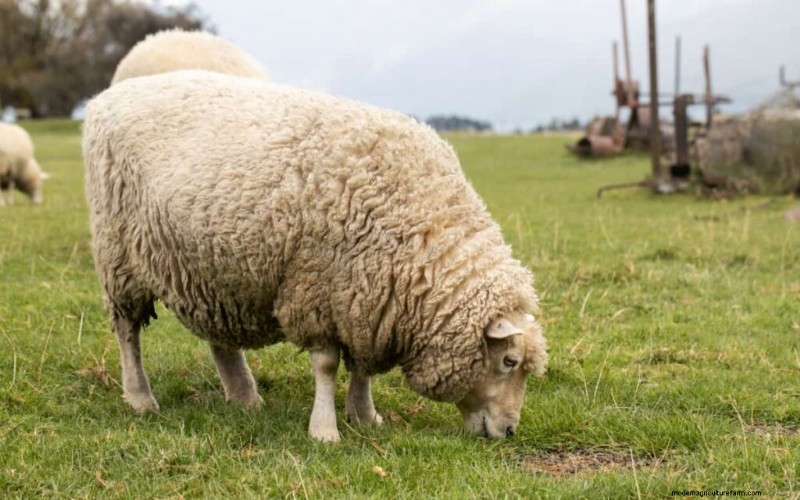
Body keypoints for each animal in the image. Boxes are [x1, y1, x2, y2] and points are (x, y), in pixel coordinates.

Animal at [82, 70, 548, 442]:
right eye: (508, 361)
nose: (510, 431)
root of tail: (108, 97)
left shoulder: (366, 297)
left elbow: (361, 368)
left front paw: (364, 415)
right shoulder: (318, 287)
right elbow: (326, 366)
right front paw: (324, 430)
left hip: (211, 262)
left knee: (219, 336)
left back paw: (243, 395)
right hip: (118, 253)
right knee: (127, 332)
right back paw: (140, 398)